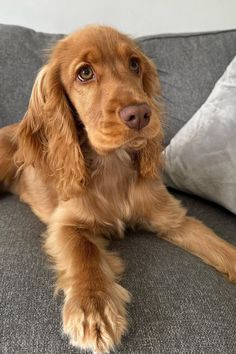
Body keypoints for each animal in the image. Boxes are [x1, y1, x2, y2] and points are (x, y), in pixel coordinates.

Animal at [0, 26, 236, 352]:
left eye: (134, 64)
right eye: (85, 73)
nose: (140, 114)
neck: (112, 166)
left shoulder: (174, 219)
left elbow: (220, 246)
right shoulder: (67, 223)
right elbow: (84, 254)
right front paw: (93, 308)